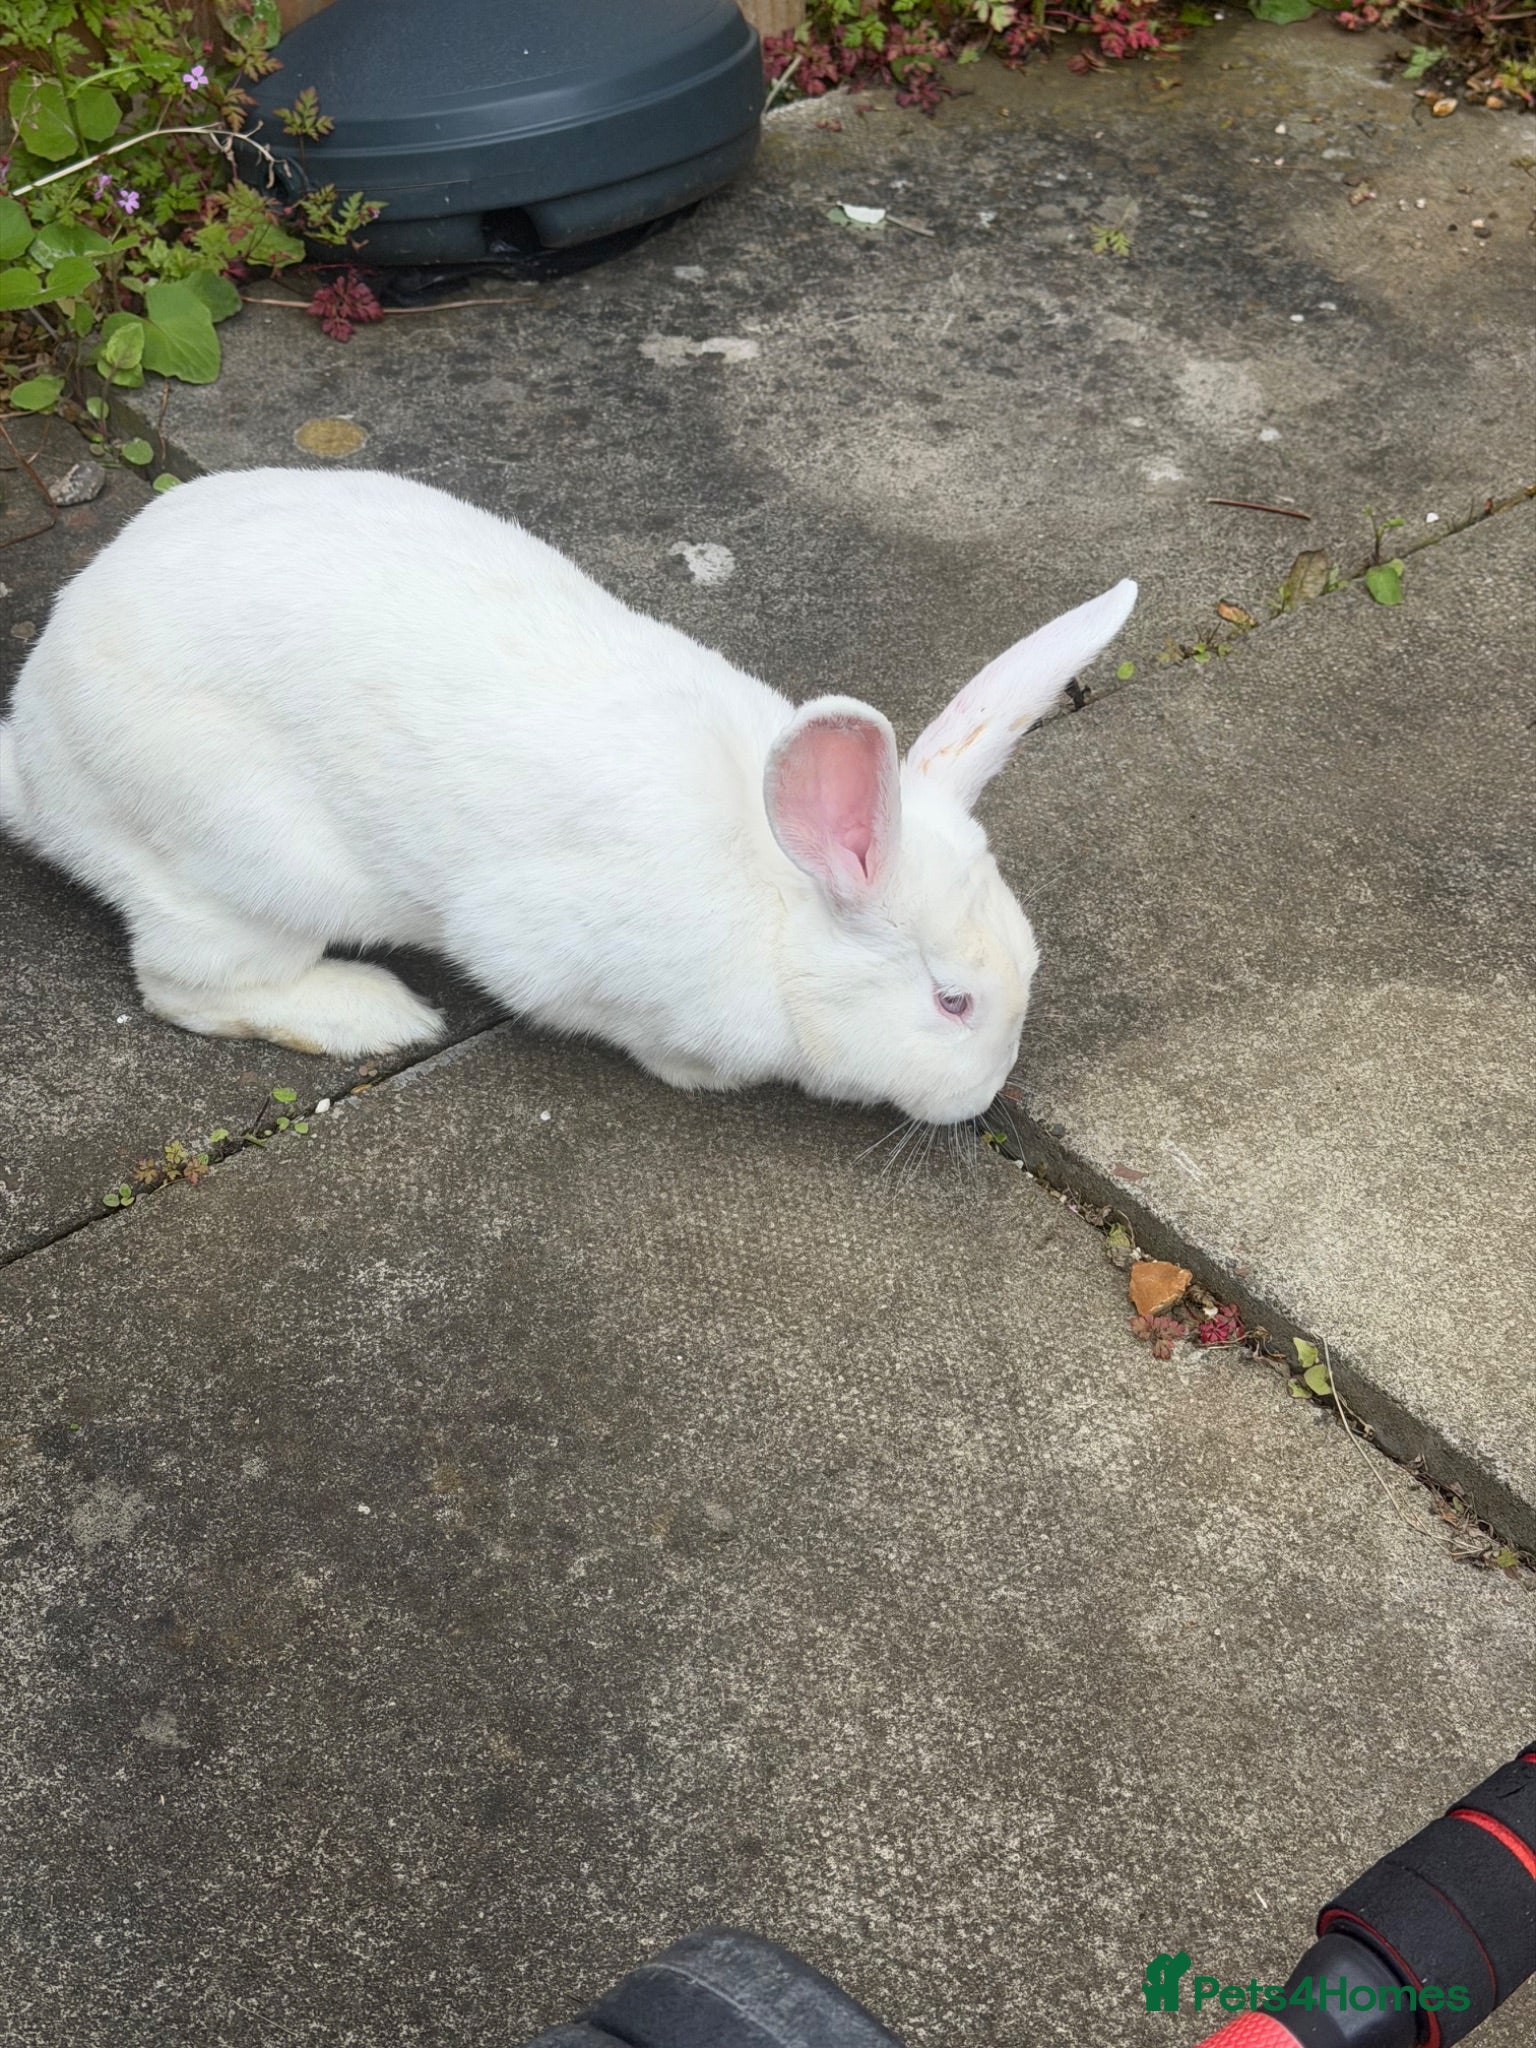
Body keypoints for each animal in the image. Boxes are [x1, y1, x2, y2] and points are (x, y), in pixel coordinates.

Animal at [0, 468, 1135, 1125]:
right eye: (952, 1001)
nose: (987, 1093)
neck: (777, 897)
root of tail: (35, 750)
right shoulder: (557, 956)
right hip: (244, 869)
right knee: (186, 985)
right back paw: (375, 1014)